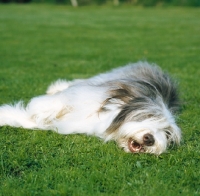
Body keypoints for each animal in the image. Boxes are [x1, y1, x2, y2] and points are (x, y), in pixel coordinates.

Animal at [0, 61, 181, 155]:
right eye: (147, 116)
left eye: (167, 134)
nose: (150, 139)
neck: (106, 120)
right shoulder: (85, 96)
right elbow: (48, 104)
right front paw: (40, 107)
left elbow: (25, 119)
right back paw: (55, 87)